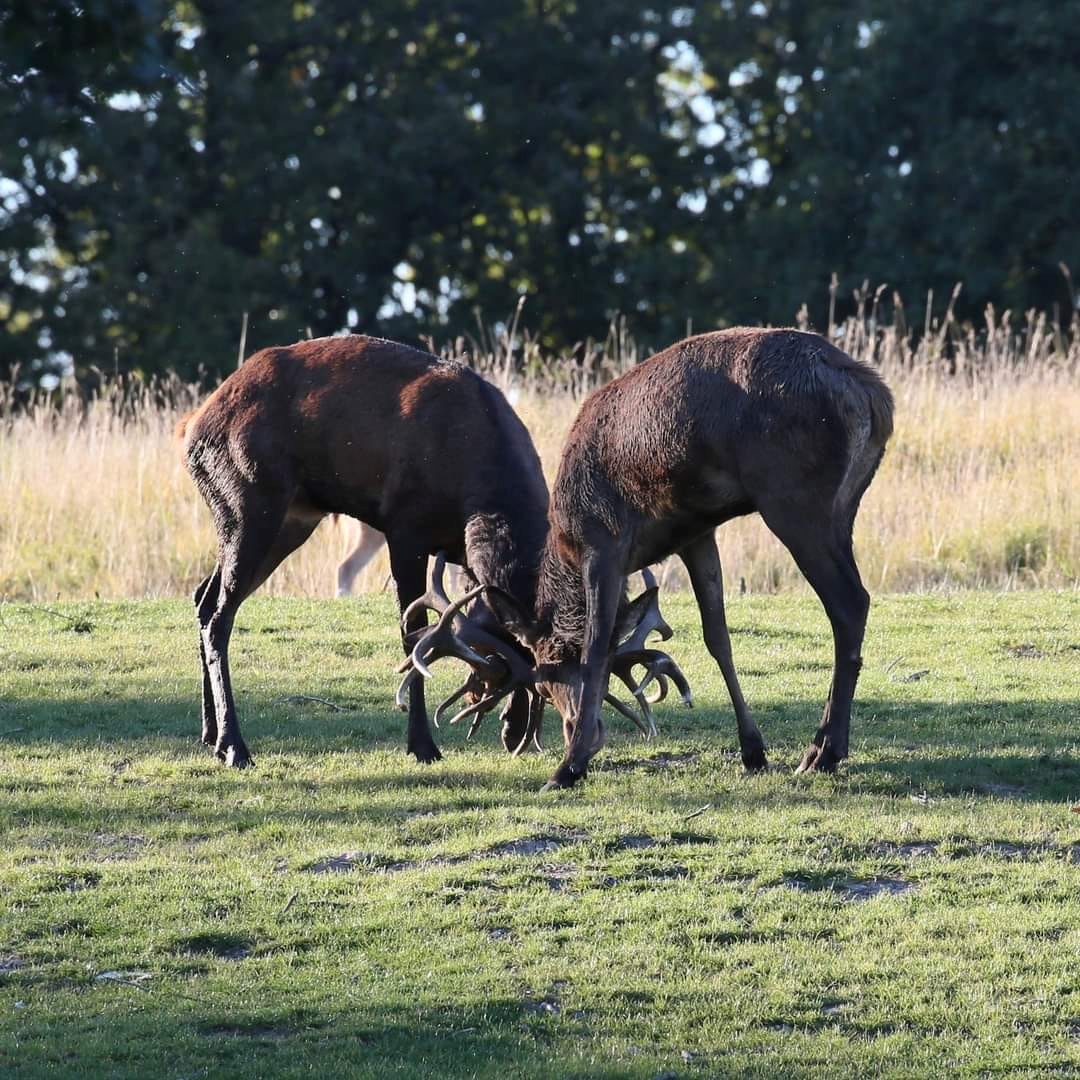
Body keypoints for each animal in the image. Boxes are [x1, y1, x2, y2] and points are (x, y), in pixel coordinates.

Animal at [178, 333, 680, 768]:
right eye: (551, 671)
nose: (582, 728)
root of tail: (192, 425)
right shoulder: (405, 527)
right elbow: (415, 634)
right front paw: (422, 744)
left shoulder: (459, 554)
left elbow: (488, 620)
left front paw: (511, 724)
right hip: (250, 500)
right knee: (220, 614)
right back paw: (234, 745)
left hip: (290, 519)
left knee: (204, 597)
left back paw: (208, 732)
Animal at [401, 328, 894, 790]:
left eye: (541, 680)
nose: (575, 730)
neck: (564, 538)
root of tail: (873, 393)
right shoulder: (697, 533)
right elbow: (718, 637)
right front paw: (753, 751)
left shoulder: (604, 542)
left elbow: (596, 648)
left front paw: (569, 766)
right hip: (844, 505)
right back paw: (822, 748)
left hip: (795, 498)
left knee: (850, 603)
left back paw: (823, 752)